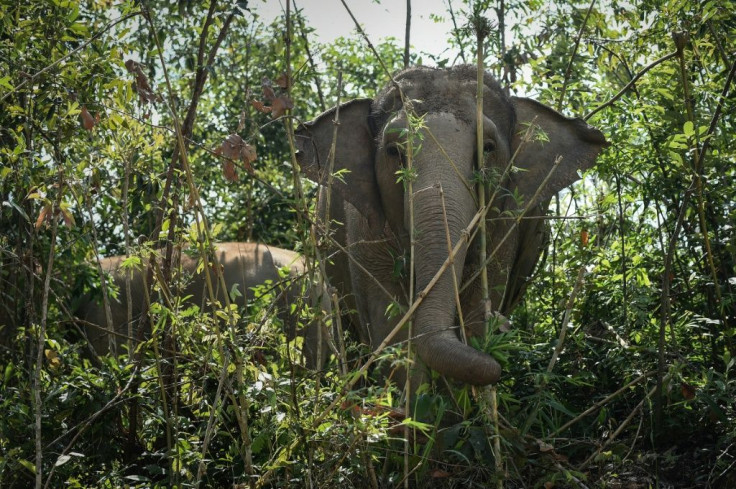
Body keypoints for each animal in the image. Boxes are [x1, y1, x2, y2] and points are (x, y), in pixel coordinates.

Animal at [294, 63, 608, 386]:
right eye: (393, 151)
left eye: (488, 148)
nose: (505, 335)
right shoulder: (365, 231)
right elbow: (391, 322)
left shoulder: (503, 231)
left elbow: (478, 304)